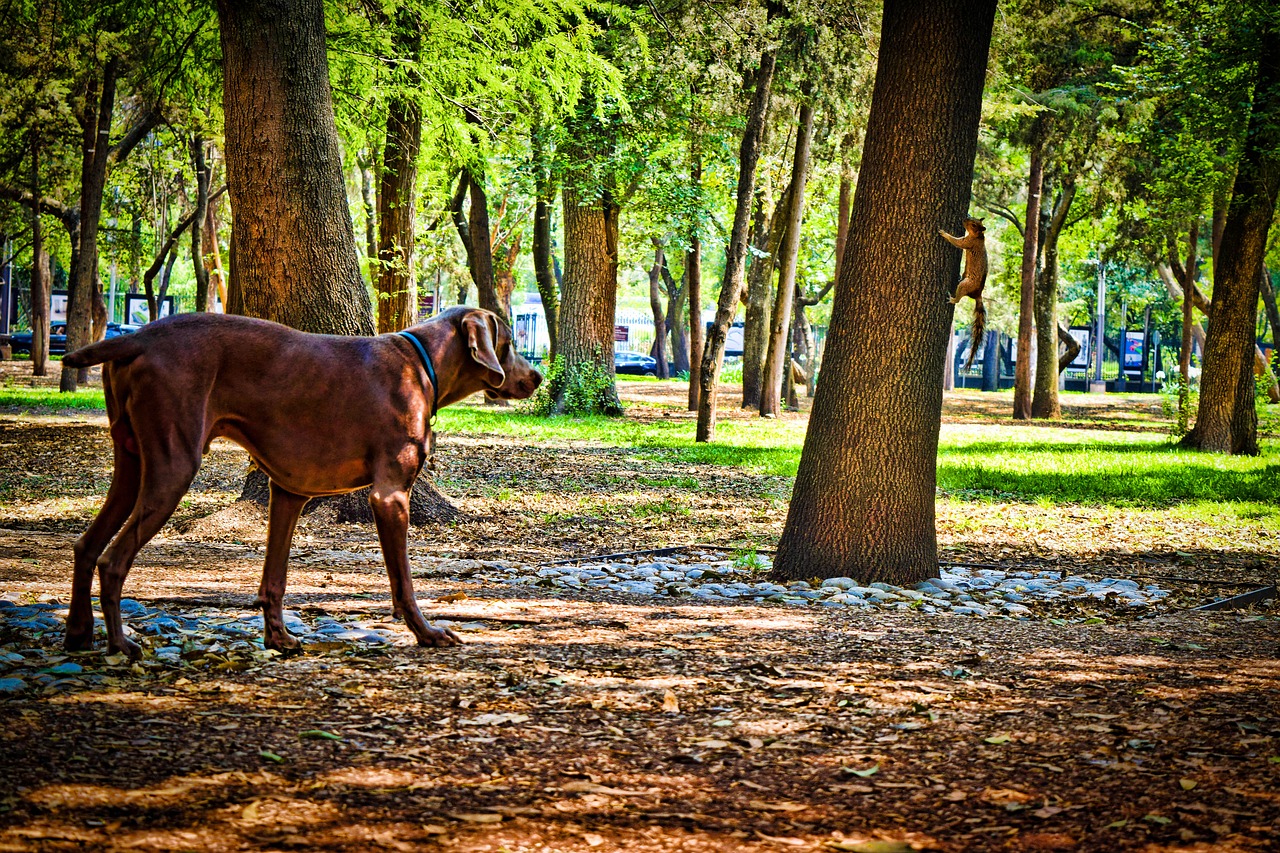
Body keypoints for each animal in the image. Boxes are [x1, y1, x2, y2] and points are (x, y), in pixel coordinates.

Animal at [58, 306, 540, 655]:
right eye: (510, 342)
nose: (537, 375)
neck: (421, 363)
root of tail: (138, 336)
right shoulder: (389, 496)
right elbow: (403, 582)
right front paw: (426, 633)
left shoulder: (289, 491)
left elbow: (275, 578)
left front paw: (279, 638)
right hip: (173, 465)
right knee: (112, 560)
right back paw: (120, 645)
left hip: (132, 464)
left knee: (86, 546)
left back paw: (79, 633)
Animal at [942, 217, 988, 366]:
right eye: (973, 219)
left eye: (973, 225)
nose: (965, 219)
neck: (979, 236)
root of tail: (977, 294)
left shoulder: (968, 243)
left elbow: (957, 242)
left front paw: (944, 233)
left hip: (965, 285)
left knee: (958, 299)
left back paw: (952, 299)